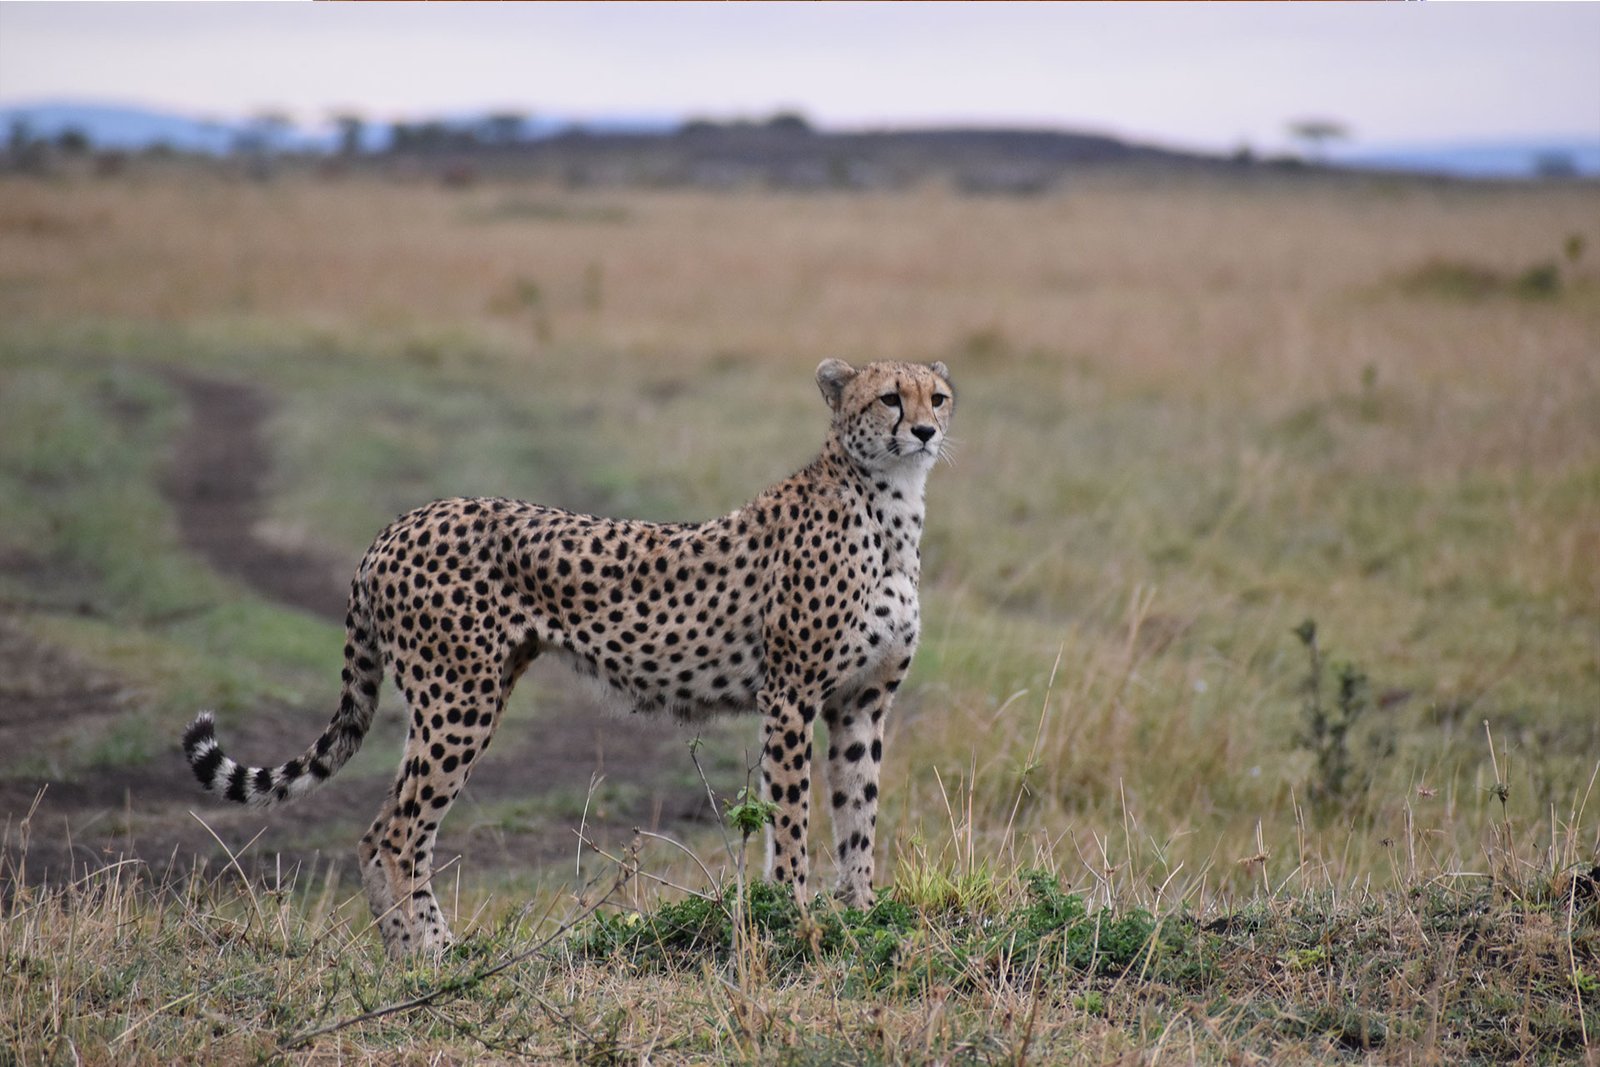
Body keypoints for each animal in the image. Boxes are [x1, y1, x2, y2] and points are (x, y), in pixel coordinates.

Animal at [182, 358, 953, 957]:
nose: (926, 432)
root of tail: (401, 522)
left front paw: (861, 914)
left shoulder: (861, 704)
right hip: (458, 700)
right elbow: (792, 821)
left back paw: (413, 957)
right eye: (890, 397)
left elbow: (858, 816)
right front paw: (792, 919)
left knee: (387, 831)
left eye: (937, 396)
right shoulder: (790, 697)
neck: (889, 506)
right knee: (394, 835)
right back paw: (436, 957)